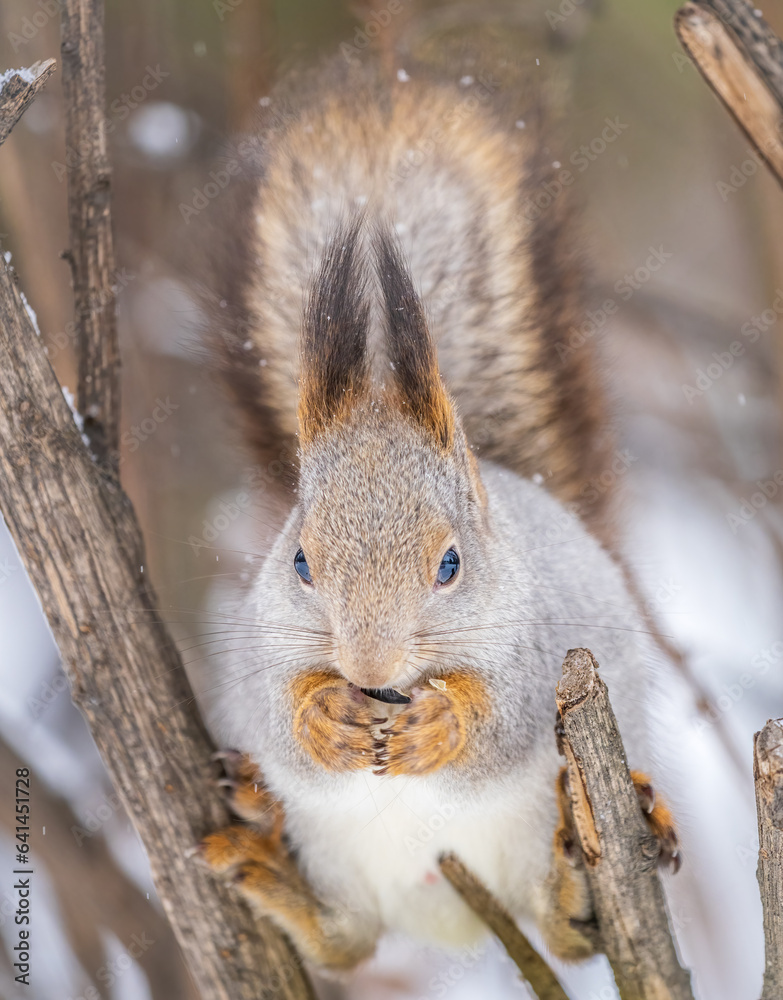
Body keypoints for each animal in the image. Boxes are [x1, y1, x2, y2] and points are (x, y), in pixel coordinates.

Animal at [192, 21, 679, 976]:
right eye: (298, 561)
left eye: (450, 564)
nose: (369, 668)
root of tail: (446, 915)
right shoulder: (259, 640)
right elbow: (277, 708)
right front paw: (322, 717)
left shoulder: (542, 644)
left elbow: (504, 718)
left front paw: (443, 726)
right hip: (333, 851)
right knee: (346, 941)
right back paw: (264, 857)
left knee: (565, 937)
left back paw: (577, 874)